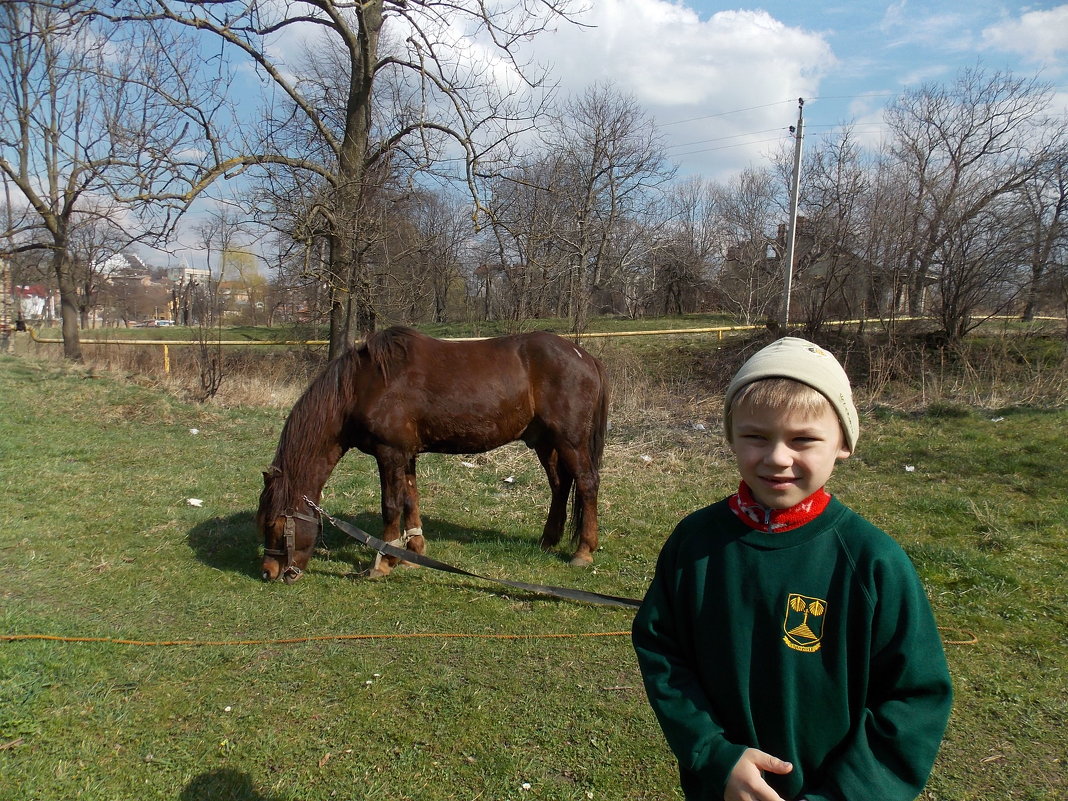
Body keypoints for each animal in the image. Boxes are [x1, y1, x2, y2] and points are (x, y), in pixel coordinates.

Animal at [256, 326, 610, 585]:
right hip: (545, 441)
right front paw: (413, 552)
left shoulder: (389, 453)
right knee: (560, 485)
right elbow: (410, 501)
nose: (269, 572)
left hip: (570, 440)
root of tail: (584, 356)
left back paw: (583, 551)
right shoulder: (406, 455)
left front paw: (383, 561)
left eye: (276, 524)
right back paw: (548, 540)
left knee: (587, 483)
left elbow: (391, 505)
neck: (362, 385)